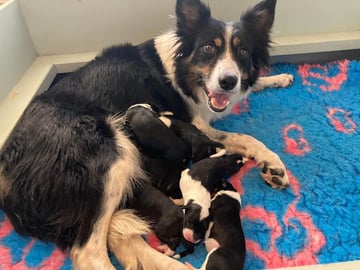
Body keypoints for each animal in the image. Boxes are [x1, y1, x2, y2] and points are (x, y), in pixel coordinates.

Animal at [0, 0, 292, 268]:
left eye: (243, 51)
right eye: (209, 47)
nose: (228, 81)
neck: (184, 70)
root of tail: (7, 175)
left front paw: (278, 78)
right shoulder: (197, 122)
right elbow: (244, 137)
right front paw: (274, 162)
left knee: (120, 240)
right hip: (112, 153)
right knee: (89, 252)